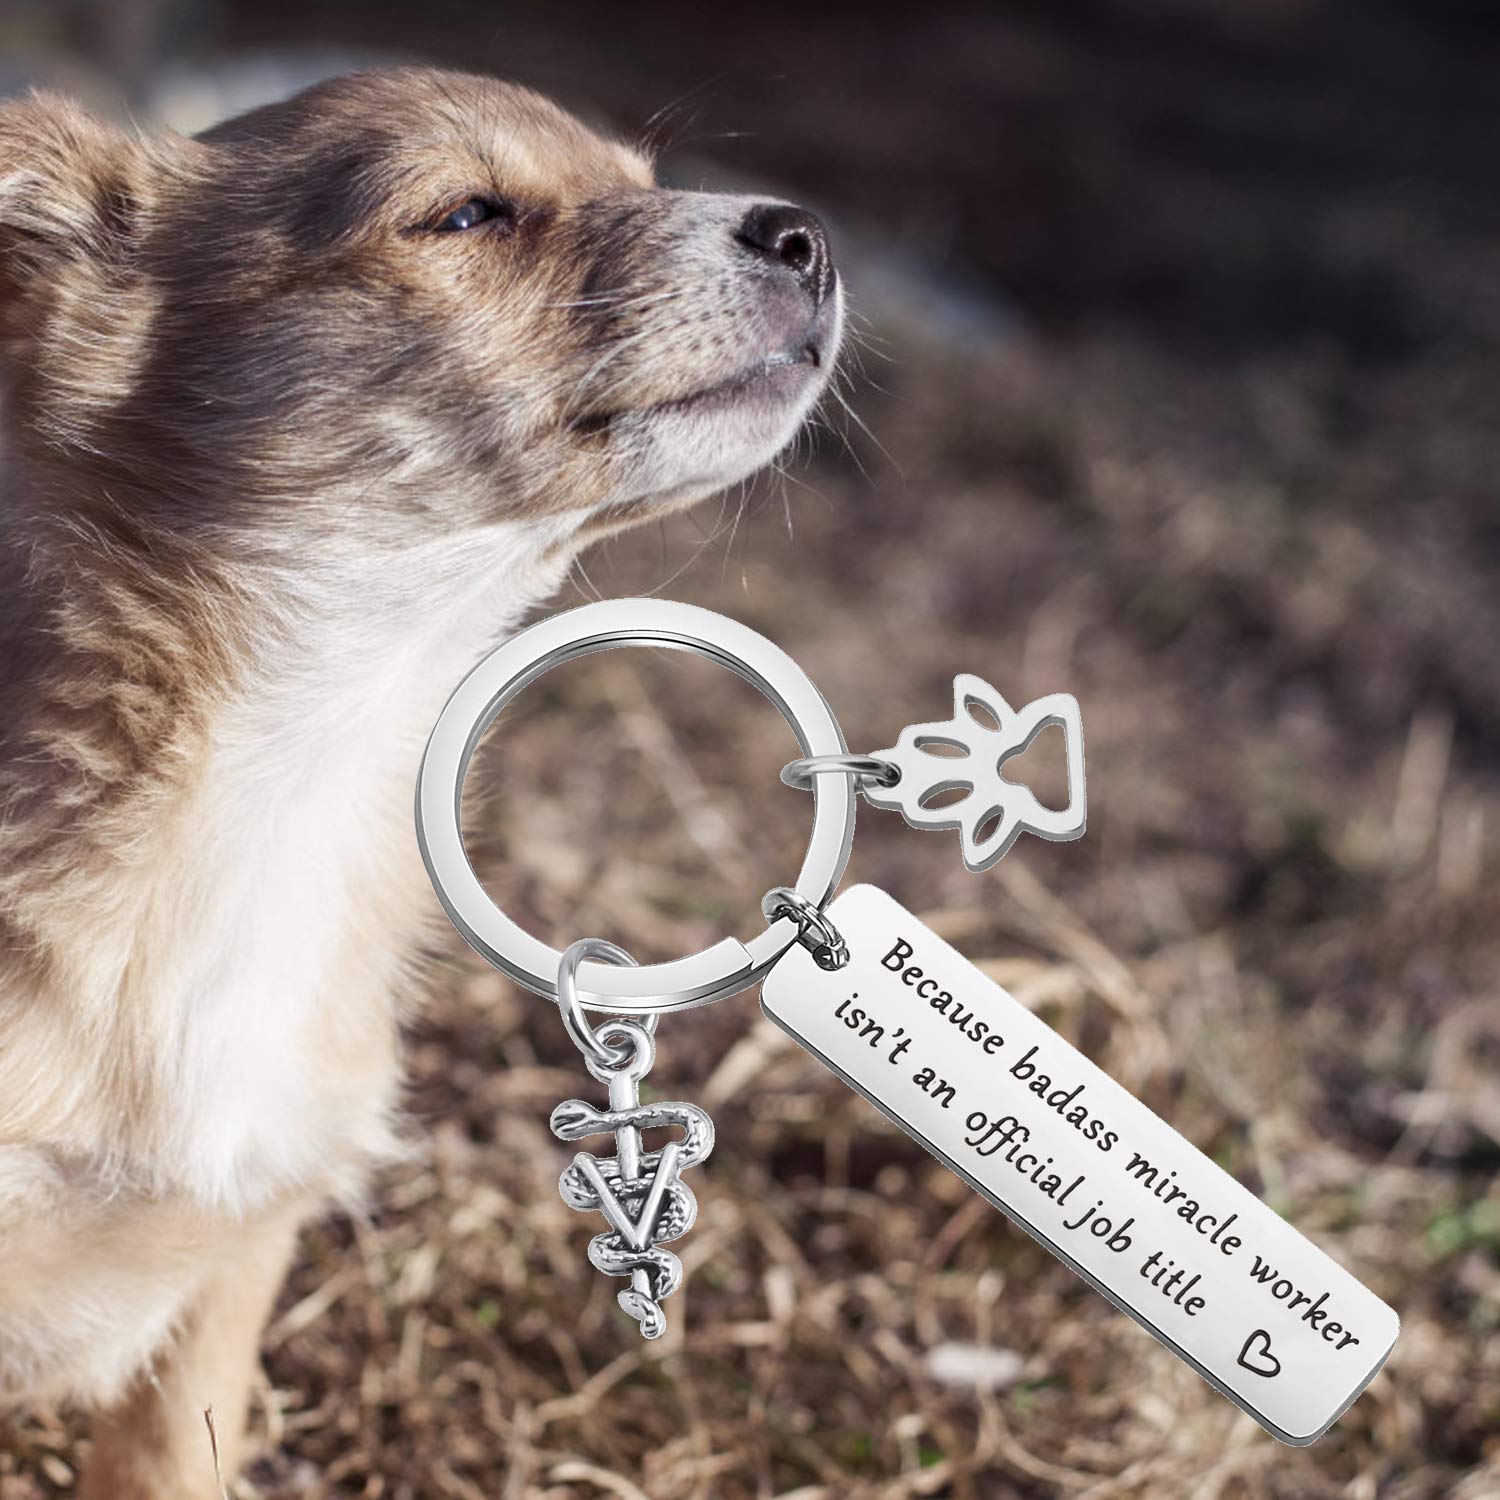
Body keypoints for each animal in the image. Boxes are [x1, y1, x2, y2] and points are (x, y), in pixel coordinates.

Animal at [0, 64, 846, 1494]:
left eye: (642, 179)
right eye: (463, 215)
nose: (809, 235)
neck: (293, 771)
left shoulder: (231, 1271)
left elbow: (172, 1461)